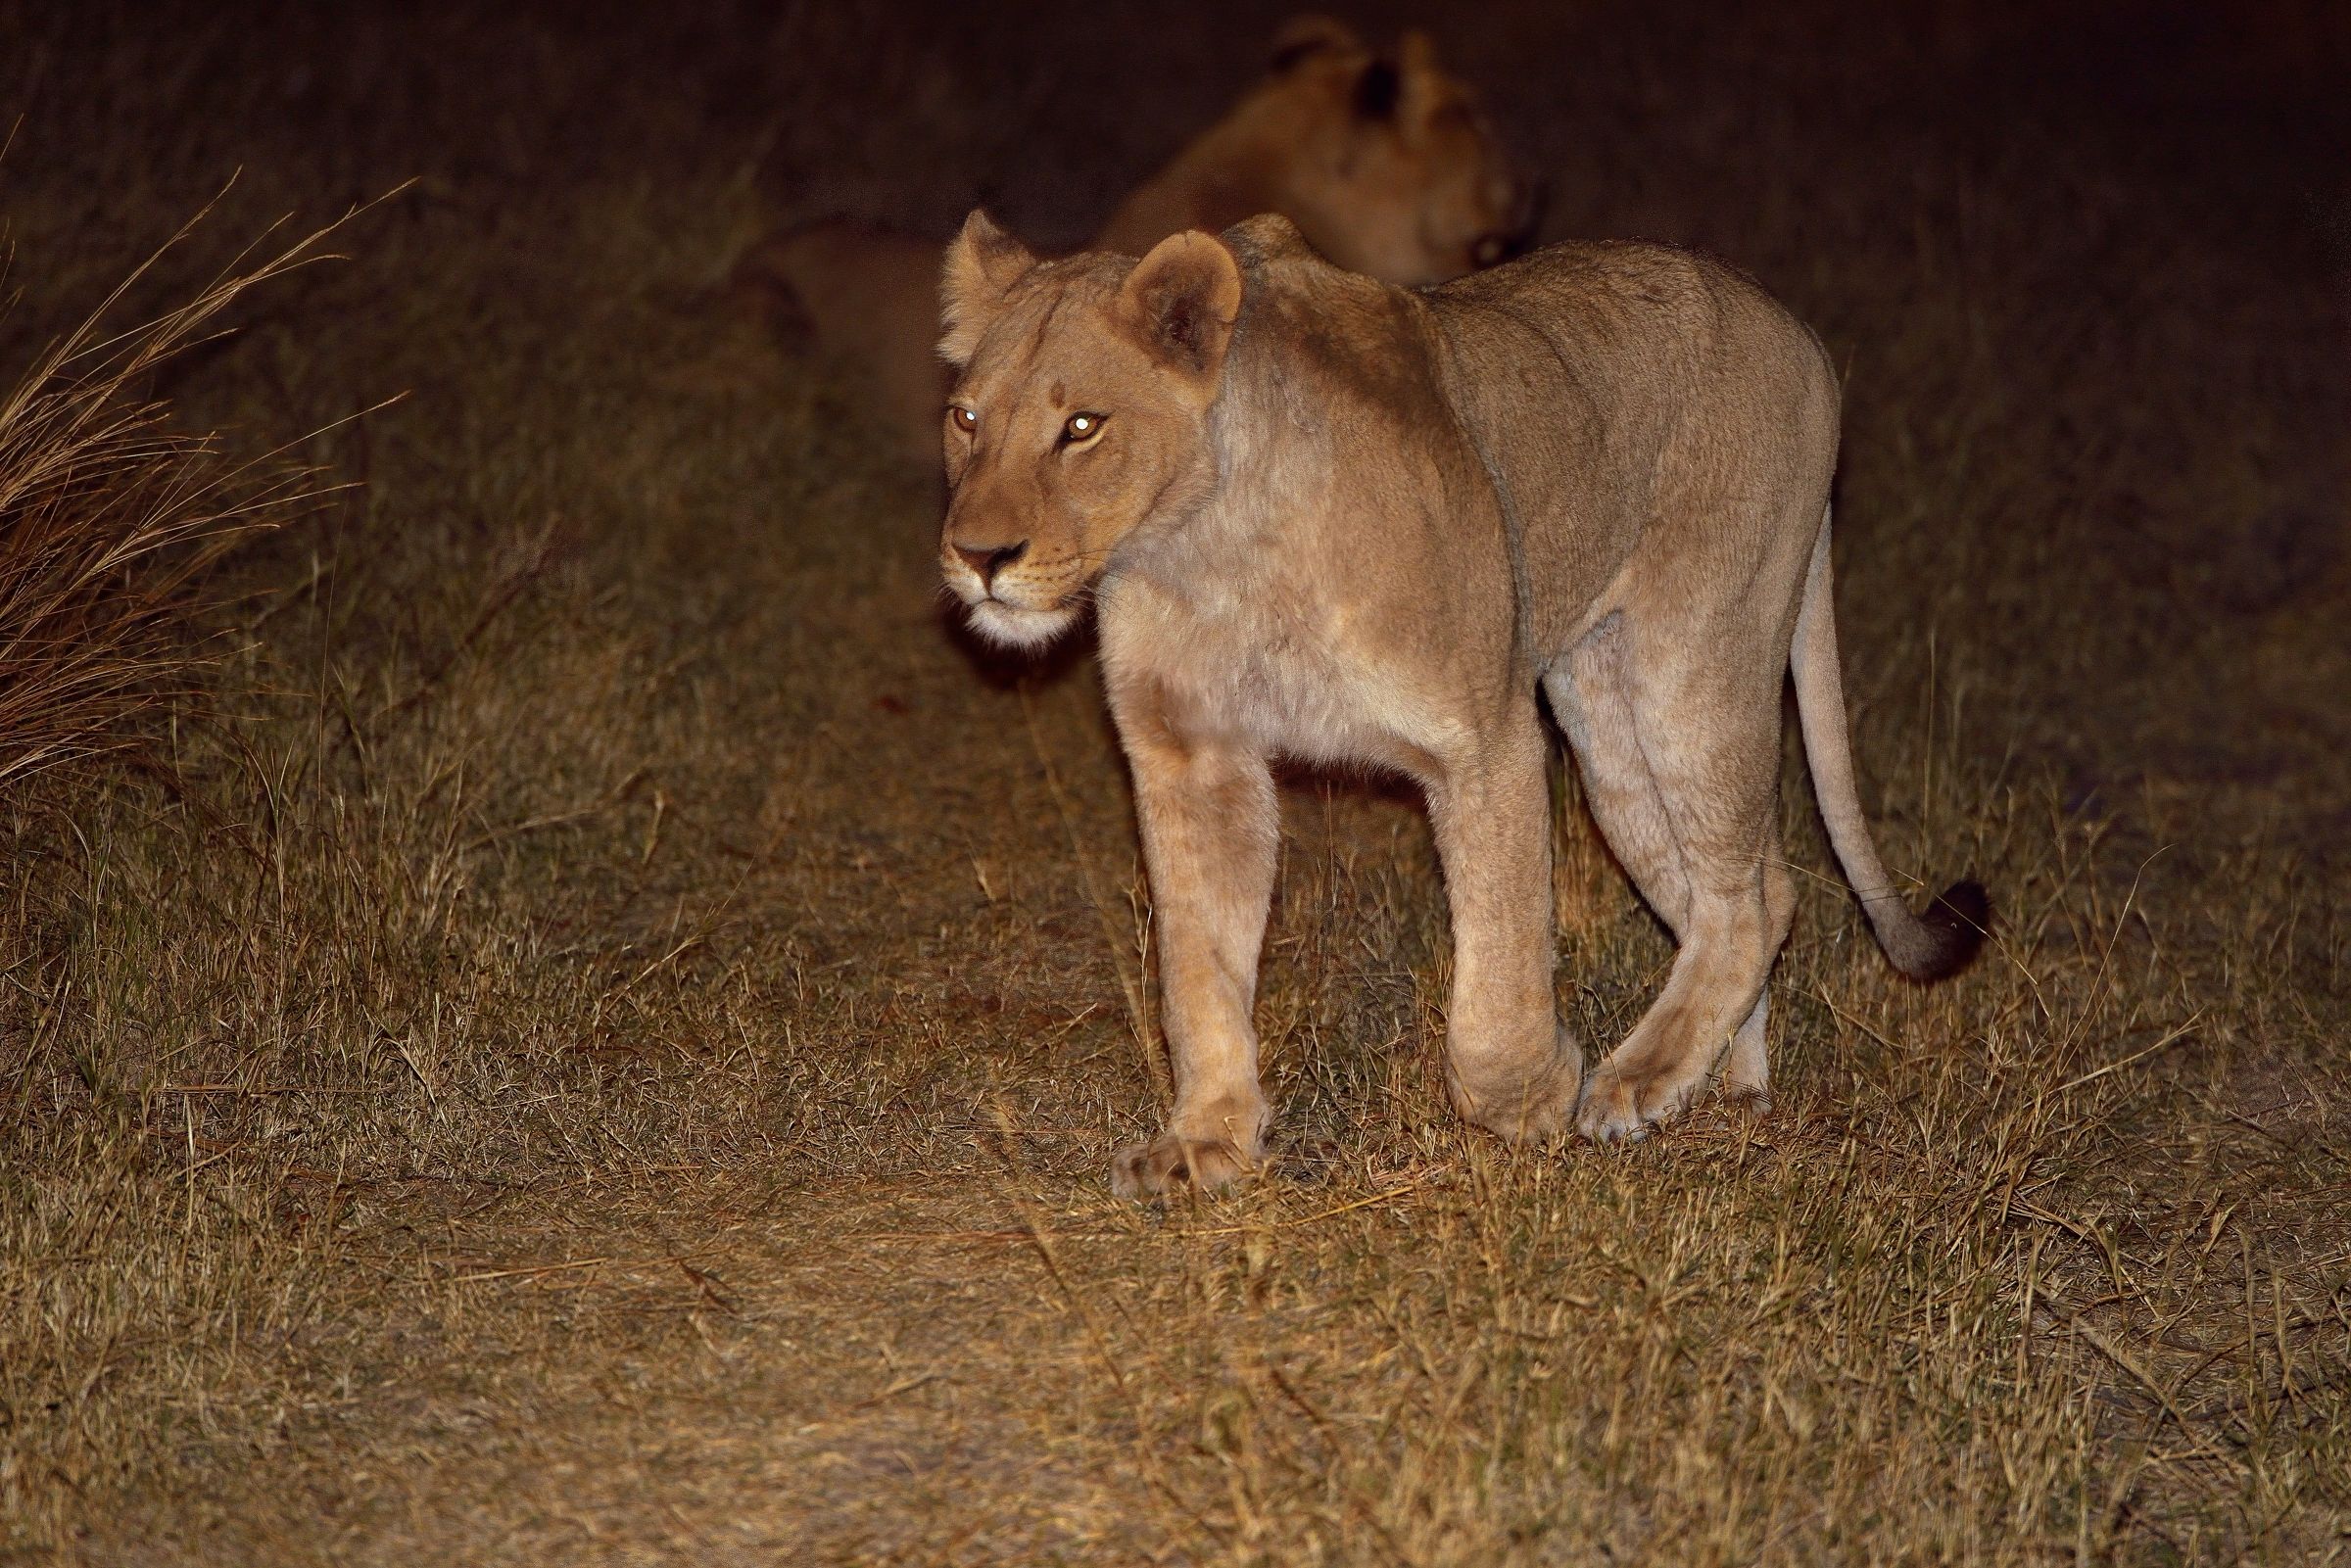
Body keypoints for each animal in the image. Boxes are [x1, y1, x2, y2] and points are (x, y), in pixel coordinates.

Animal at [934, 209, 1990, 1196]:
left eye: (1082, 427)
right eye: (967, 419)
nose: (979, 557)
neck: (1205, 549)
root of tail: (1795, 328)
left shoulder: (1483, 738)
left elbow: (1499, 964)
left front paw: (1528, 1102)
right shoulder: (1191, 755)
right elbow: (1199, 969)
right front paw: (1207, 1139)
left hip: (1692, 671)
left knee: (1754, 900)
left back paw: (1632, 1083)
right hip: (1609, 730)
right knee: (1740, 889)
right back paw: (1719, 1090)